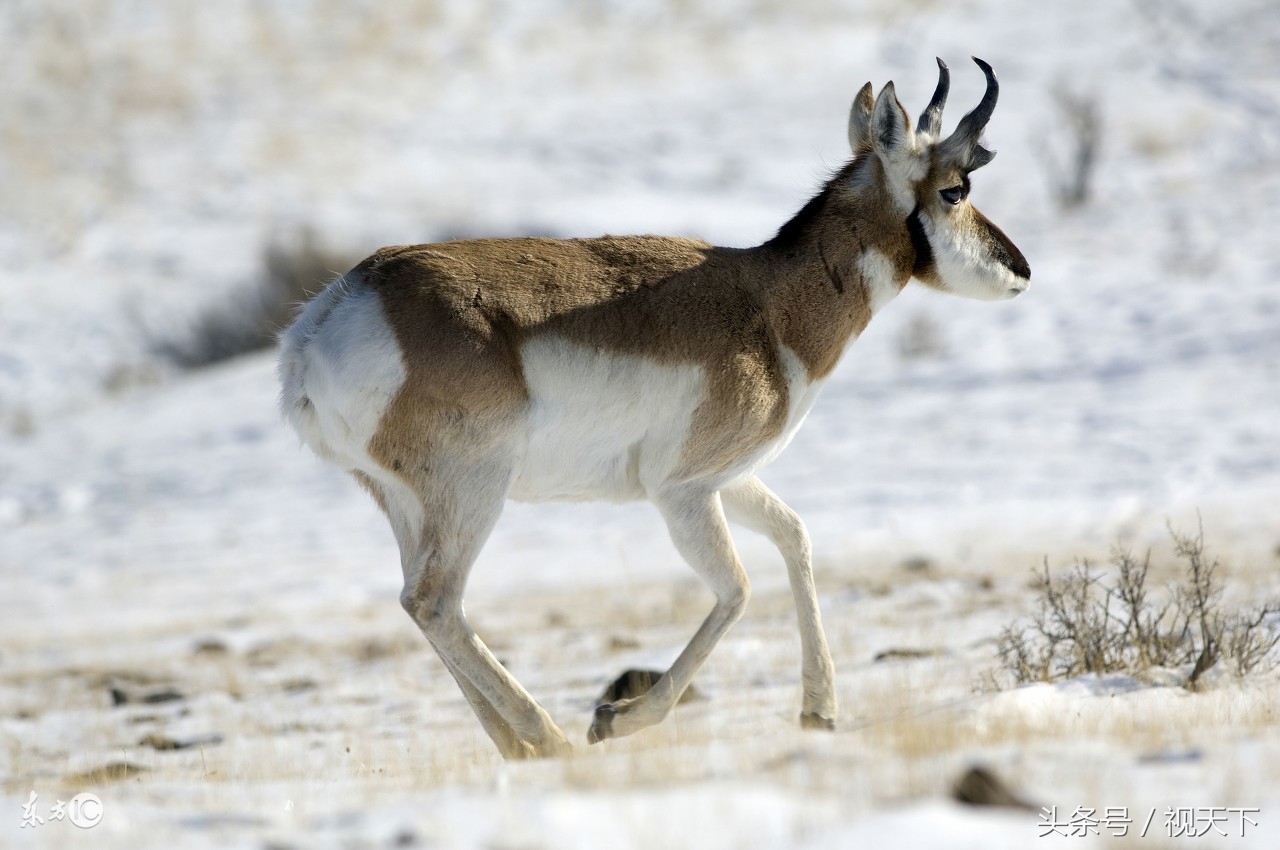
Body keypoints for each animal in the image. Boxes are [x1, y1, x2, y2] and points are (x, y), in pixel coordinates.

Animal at [280, 61, 1029, 762]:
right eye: (954, 189)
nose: (1021, 271)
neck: (767, 304)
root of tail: (327, 316)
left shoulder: (730, 480)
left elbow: (795, 537)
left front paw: (819, 712)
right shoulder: (683, 492)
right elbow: (738, 590)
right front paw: (617, 719)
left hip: (407, 505)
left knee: (423, 601)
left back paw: (516, 745)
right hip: (473, 492)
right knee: (435, 600)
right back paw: (550, 736)